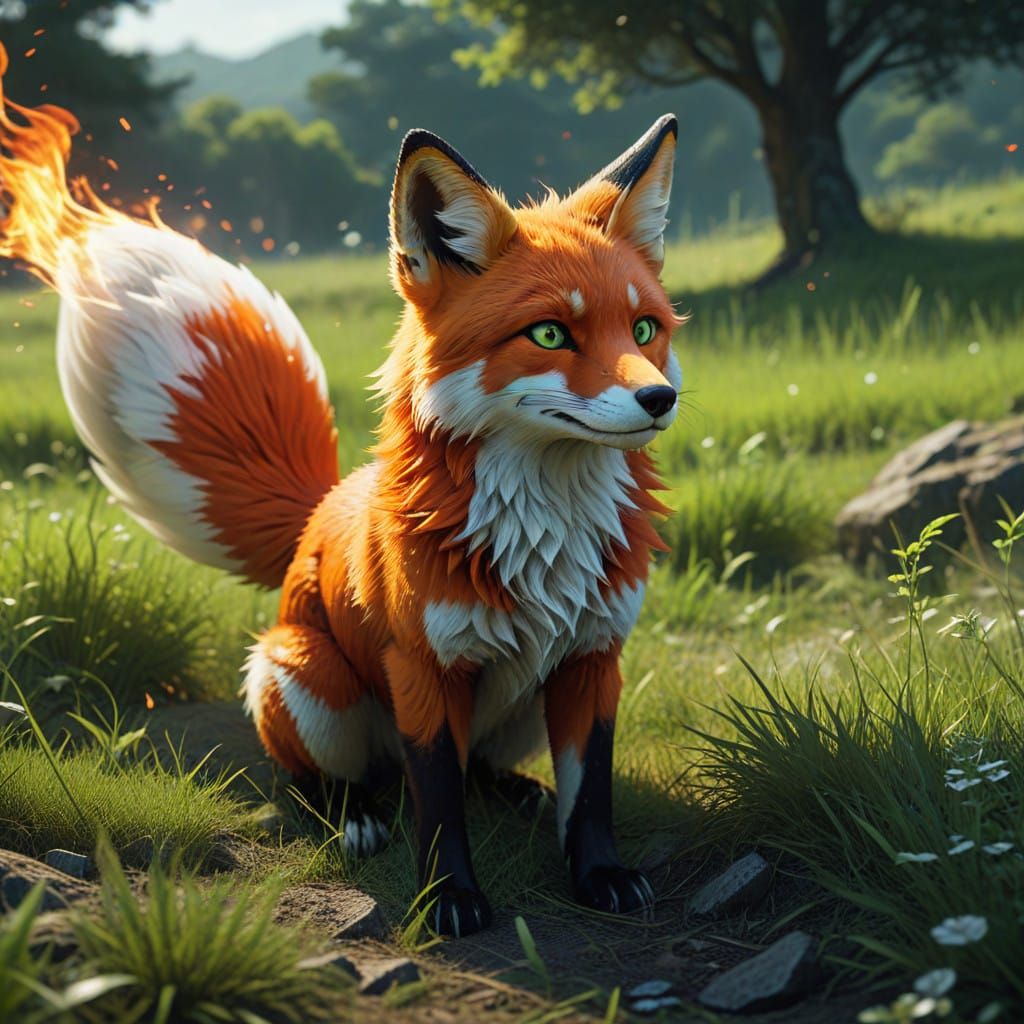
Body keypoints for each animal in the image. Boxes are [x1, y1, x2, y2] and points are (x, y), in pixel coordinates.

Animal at [0, 43, 682, 936]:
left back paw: (514, 791)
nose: (660, 399)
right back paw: (352, 815)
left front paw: (600, 876)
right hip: (304, 676)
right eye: (548, 333)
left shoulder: (595, 658)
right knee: (326, 781)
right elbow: (437, 801)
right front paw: (449, 898)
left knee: (481, 771)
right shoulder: (422, 669)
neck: (543, 540)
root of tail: (319, 514)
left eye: (644, 329)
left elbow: (590, 794)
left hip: (523, 706)